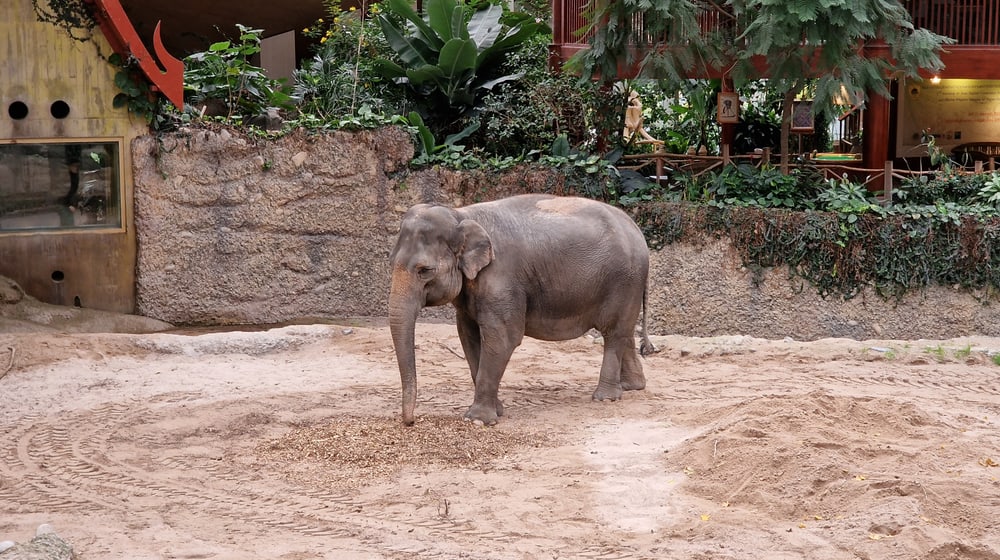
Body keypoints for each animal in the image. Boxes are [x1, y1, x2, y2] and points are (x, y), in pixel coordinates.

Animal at [388, 193, 654, 426]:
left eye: (424, 271)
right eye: (391, 263)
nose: (411, 422)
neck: (461, 214)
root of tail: (637, 232)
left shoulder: (502, 280)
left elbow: (502, 338)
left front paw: (478, 421)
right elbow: (468, 336)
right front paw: (497, 411)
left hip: (623, 281)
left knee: (614, 332)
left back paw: (605, 397)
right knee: (624, 332)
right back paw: (632, 386)